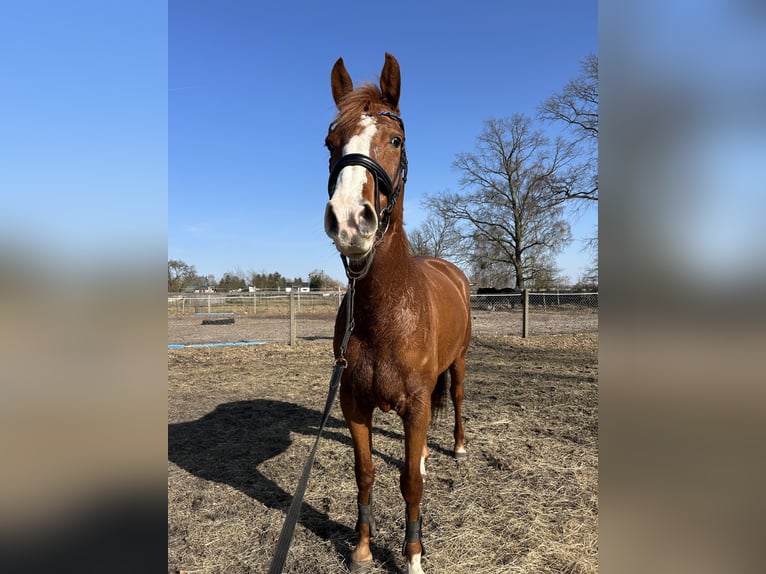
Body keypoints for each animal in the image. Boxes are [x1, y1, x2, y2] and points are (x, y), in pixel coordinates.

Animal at [323, 53, 472, 574]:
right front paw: (363, 549)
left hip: (458, 365)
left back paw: (457, 446)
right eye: (330, 142)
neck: (385, 314)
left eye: (396, 140)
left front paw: (413, 556)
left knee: (458, 400)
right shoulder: (354, 404)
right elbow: (365, 472)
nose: (350, 220)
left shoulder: (418, 403)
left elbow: (410, 483)